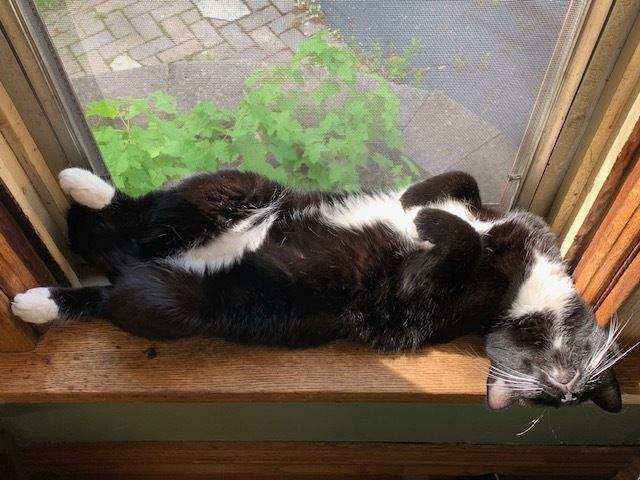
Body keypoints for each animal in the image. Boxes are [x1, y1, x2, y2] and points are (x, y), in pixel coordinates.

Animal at [8, 168, 620, 412]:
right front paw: (418, 201)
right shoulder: (501, 213)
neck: (529, 274)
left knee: (115, 291)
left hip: (171, 301)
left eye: (554, 397)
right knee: (138, 215)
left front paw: (430, 221)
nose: (565, 387)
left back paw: (39, 302)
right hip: (234, 186)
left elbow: (463, 239)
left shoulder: (431, 292)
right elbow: (460, 184)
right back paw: (82, 187)